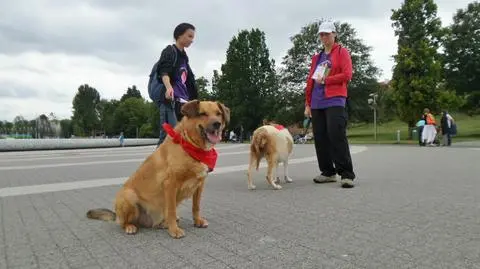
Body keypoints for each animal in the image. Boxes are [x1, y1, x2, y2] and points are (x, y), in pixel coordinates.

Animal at [85, 99, 230, 238]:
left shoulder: (199, 185)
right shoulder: (170, 185)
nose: (217, 124)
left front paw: (197, 221)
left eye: (218, 113)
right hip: (128, 196)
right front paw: (174, 230)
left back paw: (164, 224)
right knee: (124, 223)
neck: (190, 145)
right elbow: (171, 210)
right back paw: (131, 227)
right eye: (202, 114)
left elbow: (196, 206)